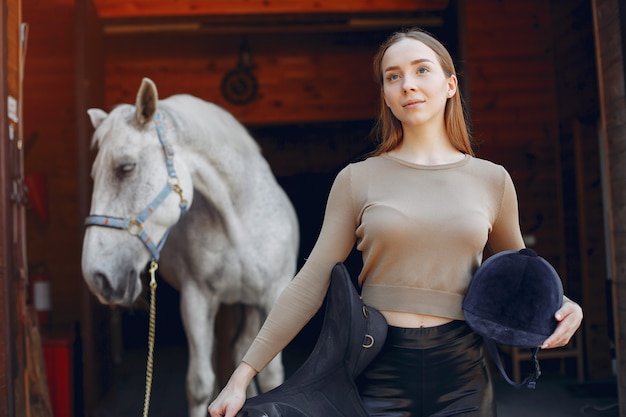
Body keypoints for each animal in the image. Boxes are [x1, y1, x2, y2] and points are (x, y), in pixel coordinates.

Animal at [81, 77, 298, 416]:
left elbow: (271, 375)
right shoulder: (197, 300)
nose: (96, 276)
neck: (240, 223)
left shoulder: (275, 295)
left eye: (126, 167)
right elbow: (199, 384)